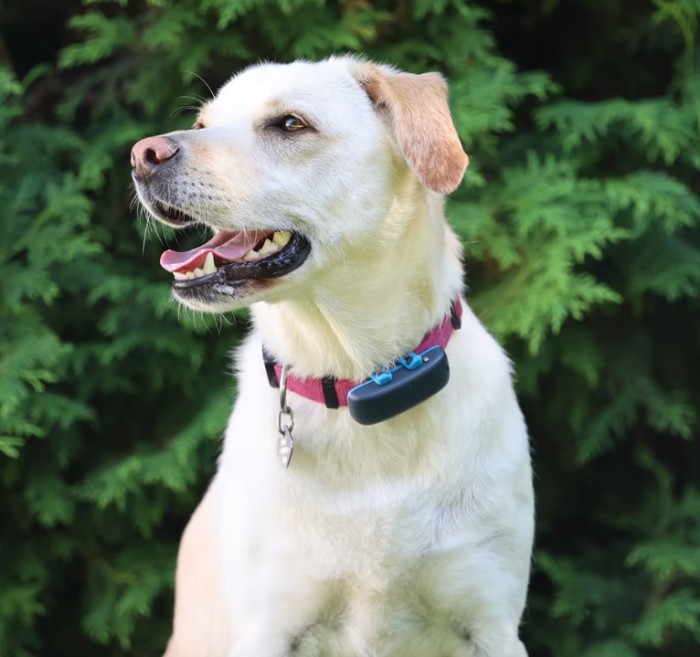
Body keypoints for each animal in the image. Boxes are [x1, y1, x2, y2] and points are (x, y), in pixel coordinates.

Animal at [133, 55, 536, 656]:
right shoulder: (269, 623)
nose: (143, 154)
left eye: (290, 124)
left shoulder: (490, 621)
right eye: (203, 124)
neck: (356, 379)